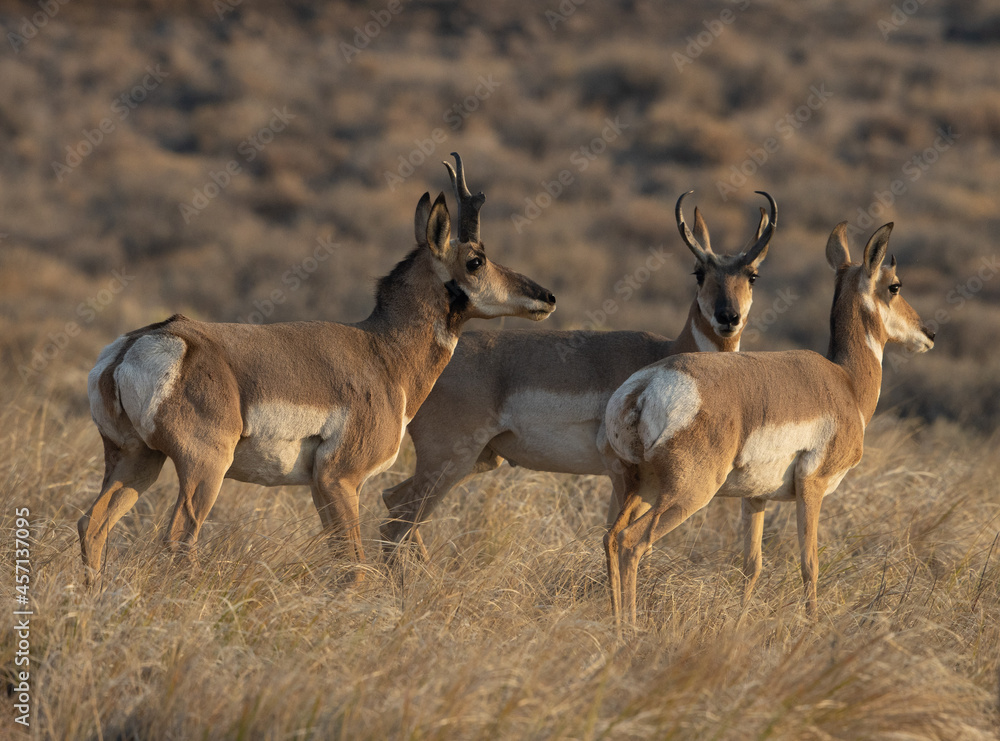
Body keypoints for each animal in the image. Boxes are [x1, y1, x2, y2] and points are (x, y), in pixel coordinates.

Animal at [78, 154, 556, 582]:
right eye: (476, 260)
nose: (547, 297)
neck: (381, 350)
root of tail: (138, 344)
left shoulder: (320, 486)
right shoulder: (340, 479)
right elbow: (354, 568)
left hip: (136, 460)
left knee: (92, 524)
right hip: (203, 468)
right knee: (179, 538)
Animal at [380, 191, 777, 557]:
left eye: (752, 275)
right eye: (699, 272)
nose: (728, 318)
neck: (666, 352)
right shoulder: (622, 478)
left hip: (479, 461)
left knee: (392, 501)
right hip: (449, 462)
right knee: (400, 518)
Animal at [603, 221, 935, 625]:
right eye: (895, 285)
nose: (929, 334)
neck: (845, 383)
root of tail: (645, 385)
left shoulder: (755, 498)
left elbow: (752, 565)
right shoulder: (812, 488)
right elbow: (809, 564)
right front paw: (813, 626)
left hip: (636, 489)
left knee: (610, 538)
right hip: (688, 494)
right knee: (632, 543)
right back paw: (630, 628)